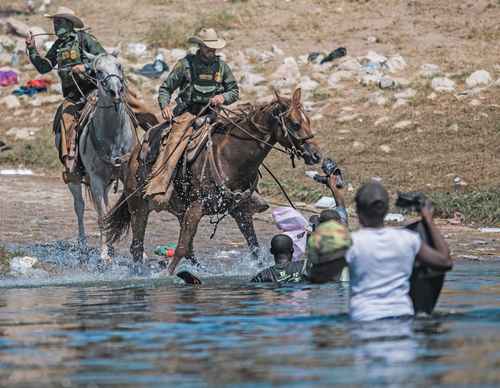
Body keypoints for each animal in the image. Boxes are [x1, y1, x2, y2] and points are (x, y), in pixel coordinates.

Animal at [68, 52, 137, 264]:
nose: (116, 91)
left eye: (119, 66)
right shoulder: (96, 180)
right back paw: (84, 245)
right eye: (98, 71)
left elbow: (132, 211)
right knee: (80, 207)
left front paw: (139, 253)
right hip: (74, 179)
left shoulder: (127, 175)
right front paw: (104, 254)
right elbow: (102, 216)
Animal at [107, 89, 322, 274]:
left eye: (309, 121)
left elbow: (254, 247)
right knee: (137, 246)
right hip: (139, 208)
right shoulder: (196, 208)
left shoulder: (241, 210)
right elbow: (181, 246)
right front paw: (165, 275)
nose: (316, 155)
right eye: (295, 123)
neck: (230, 157)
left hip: (179, 210)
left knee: (188, 250)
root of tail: (131, 157)